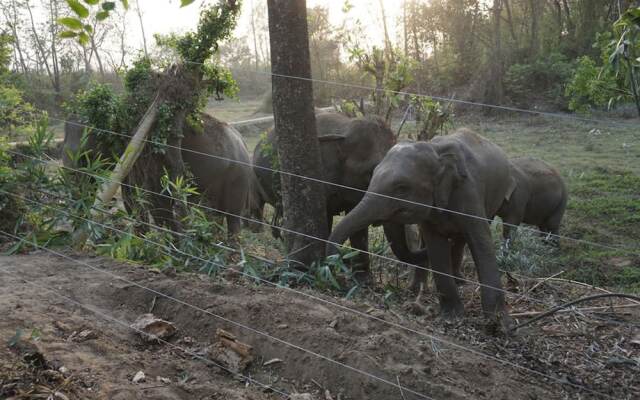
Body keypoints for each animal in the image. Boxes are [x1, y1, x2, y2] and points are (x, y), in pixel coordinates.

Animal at [62, 112, 255, 238]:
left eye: (88, 154)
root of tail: (243, 143)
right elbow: (135, 199)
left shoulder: (147, 158)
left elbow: (147, 199)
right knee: (215, 214)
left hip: (237, 177)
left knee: (232, 217)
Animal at [252, 112, 428, 280]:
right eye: (371, 173)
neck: (345, 128)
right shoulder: (318, 178)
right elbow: (327, 219)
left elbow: (358, 226)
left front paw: (362, 279)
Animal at [328, 128, 516, 324]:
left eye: (402, 188)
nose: (337, 277)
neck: (436, 151)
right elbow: (436, 247)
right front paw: (452, 316)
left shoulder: (469, 191)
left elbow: (481, 242)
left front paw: (500, 324)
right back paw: (418, 289)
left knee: (463, 238)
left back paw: (457, 281)